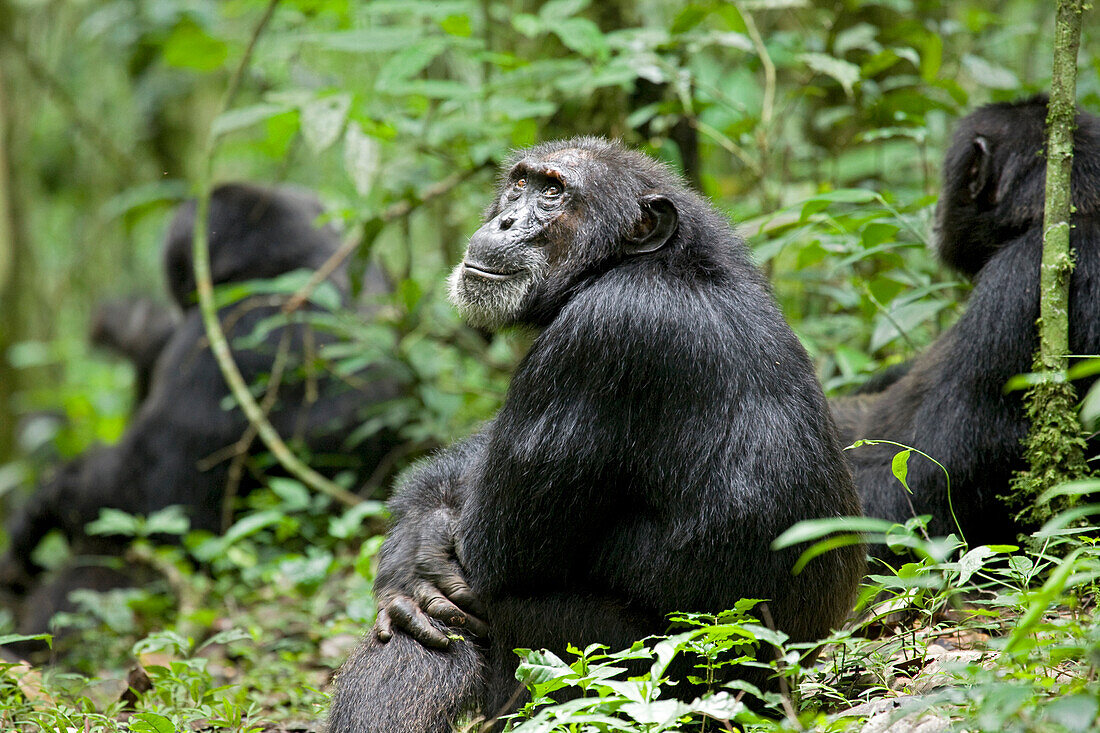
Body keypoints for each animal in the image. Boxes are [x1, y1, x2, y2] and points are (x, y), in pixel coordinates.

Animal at [327, 138, 866, 730]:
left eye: (554, 193)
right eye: (521, 184)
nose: (506, 220)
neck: (644, 264)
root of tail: (787, 687)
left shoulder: (599, 336)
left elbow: (494, 549)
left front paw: (424, 557)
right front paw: (413, 546)